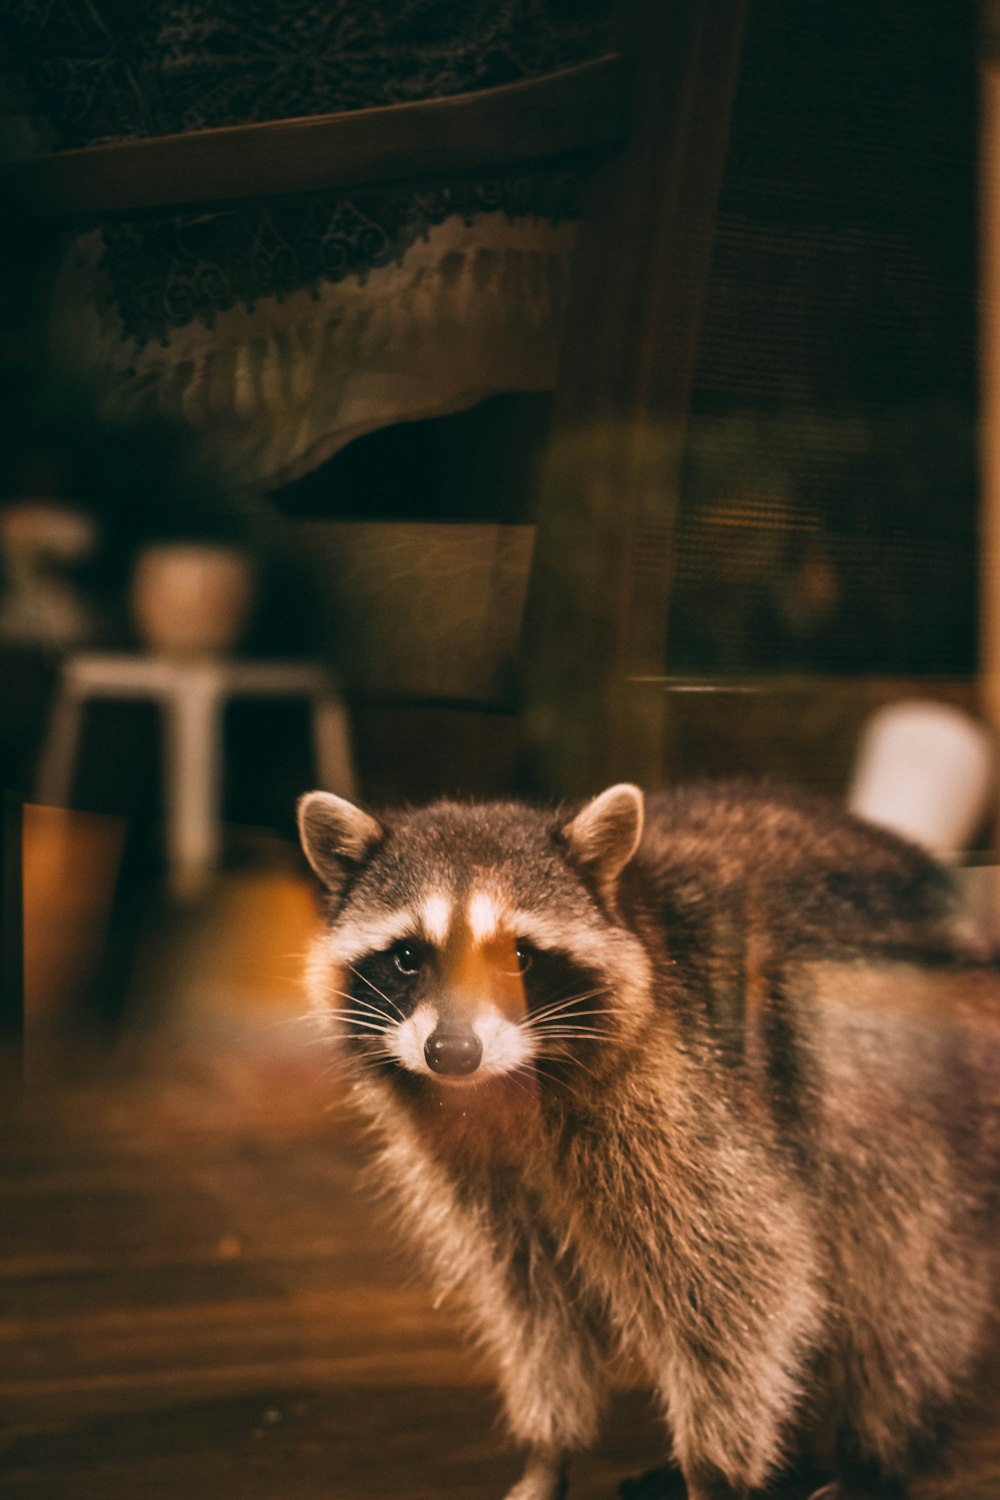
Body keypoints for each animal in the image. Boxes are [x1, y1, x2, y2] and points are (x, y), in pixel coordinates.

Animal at [296, 780, 1000, 1494]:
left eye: (518, 956)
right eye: (409, 957)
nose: (453, 1053)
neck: (506, 1089)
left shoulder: (689, 1100)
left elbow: (746, 1278)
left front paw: (711, 1471)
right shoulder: (483, 1170)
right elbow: (533, 1303)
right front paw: (548, 1445)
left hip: (927, 1108)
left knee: (904, 1284)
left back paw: (878, 1452)